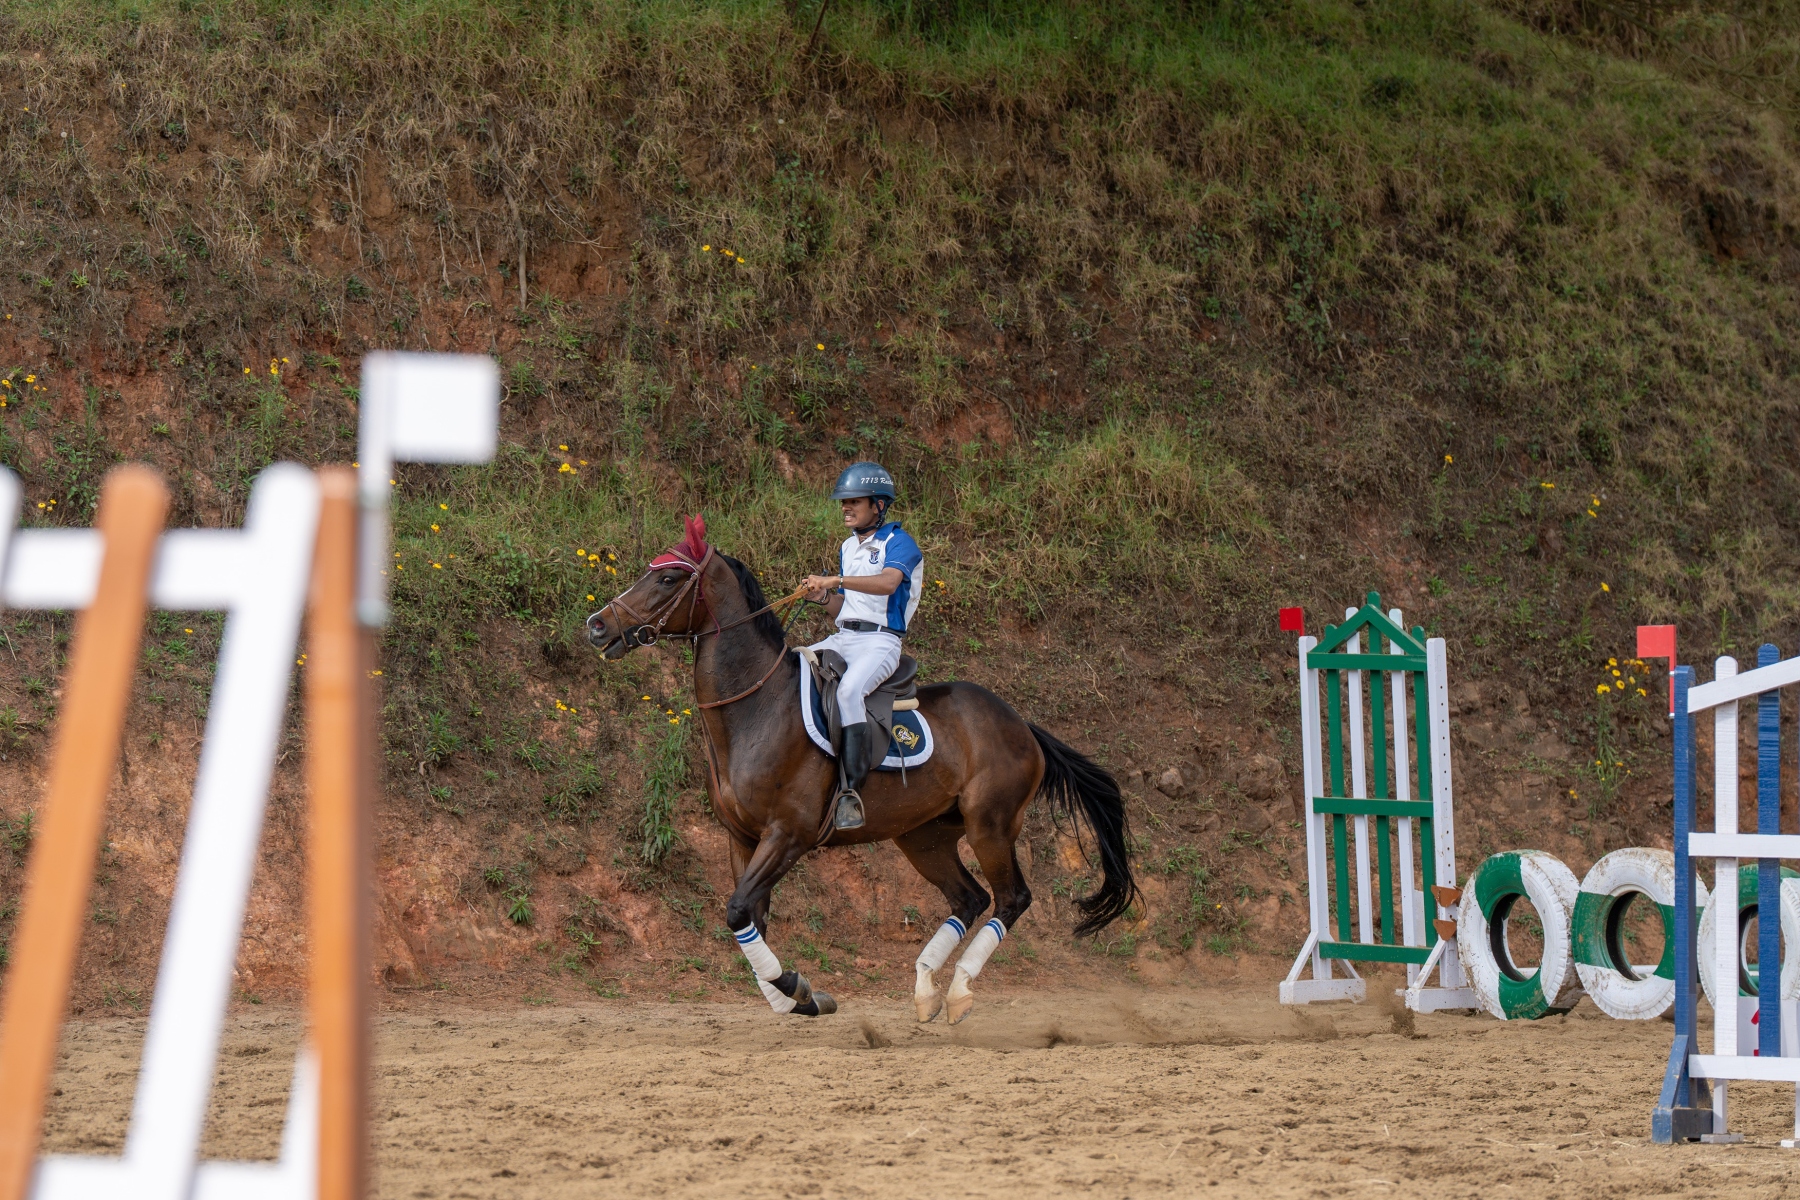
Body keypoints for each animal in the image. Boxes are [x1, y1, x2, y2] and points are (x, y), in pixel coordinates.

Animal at [586, 516, 1136, 1024]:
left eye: (667, 579)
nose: (597, 624)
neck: (755, 710)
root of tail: (1021, 723)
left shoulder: (789, 835)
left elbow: (740, 909)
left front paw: (797, 989)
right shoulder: (741, 837)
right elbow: (750, 918)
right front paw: (794, 998)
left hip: (990, 827)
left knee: (1011, 899)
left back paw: (958, 991)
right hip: (924, 838)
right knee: (969, 898)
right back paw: (925, 990)